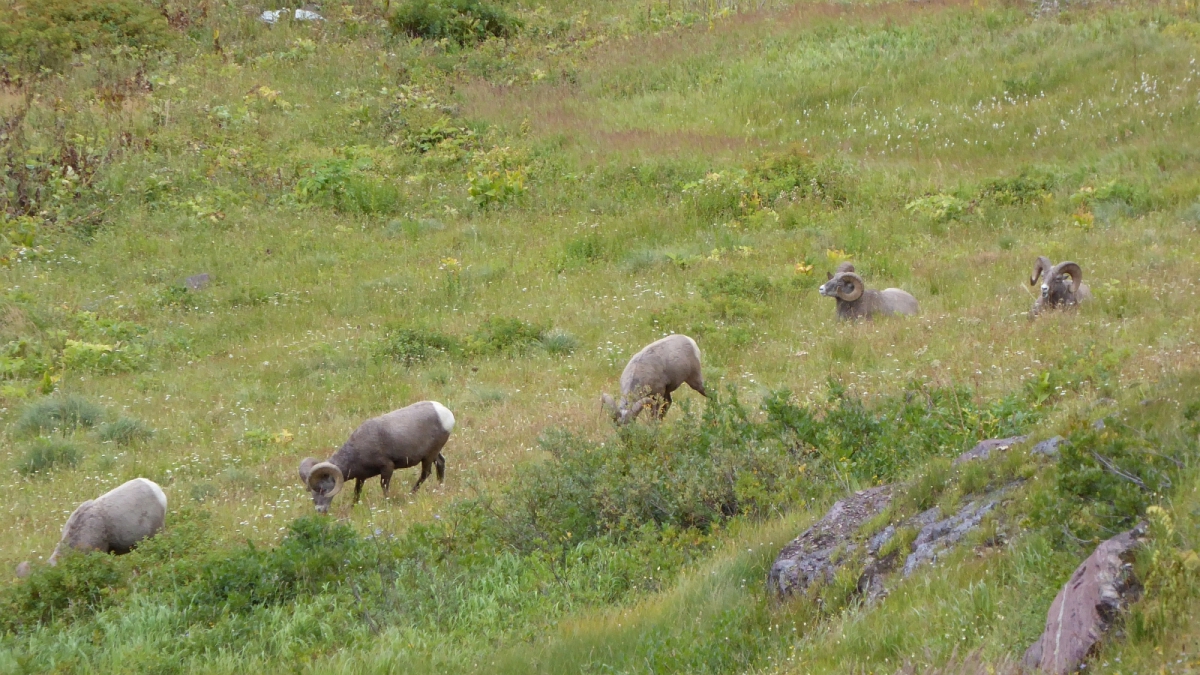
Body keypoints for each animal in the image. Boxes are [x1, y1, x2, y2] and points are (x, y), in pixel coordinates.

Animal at [297, 398, 451, 509]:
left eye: (323, 489)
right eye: (312, 492)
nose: (320, 510)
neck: (356, 452)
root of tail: (446, 413)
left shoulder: (387, 468)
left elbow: (384, 487)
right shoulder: (361, 477)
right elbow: (357, 492)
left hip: (429, 456)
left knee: (426, 473)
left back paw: (411, 493)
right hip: (434, 454)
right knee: (440, 463)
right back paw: (439, 487)